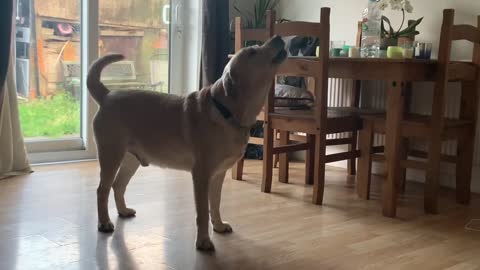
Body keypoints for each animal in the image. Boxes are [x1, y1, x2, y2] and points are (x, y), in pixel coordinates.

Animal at [87, 35, 284, 251]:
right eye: (252, 52)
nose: (278, 37)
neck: (225, 111)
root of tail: (107, 95)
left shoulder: (218, 174)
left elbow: (215, 203)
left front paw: (218, 226)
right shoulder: (201, 175)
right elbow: (203, 211)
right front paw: (203, 241)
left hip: (131, 160)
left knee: (118, 185)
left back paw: (123, 211)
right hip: (111, 155)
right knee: (102, 190)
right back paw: (104, 223)